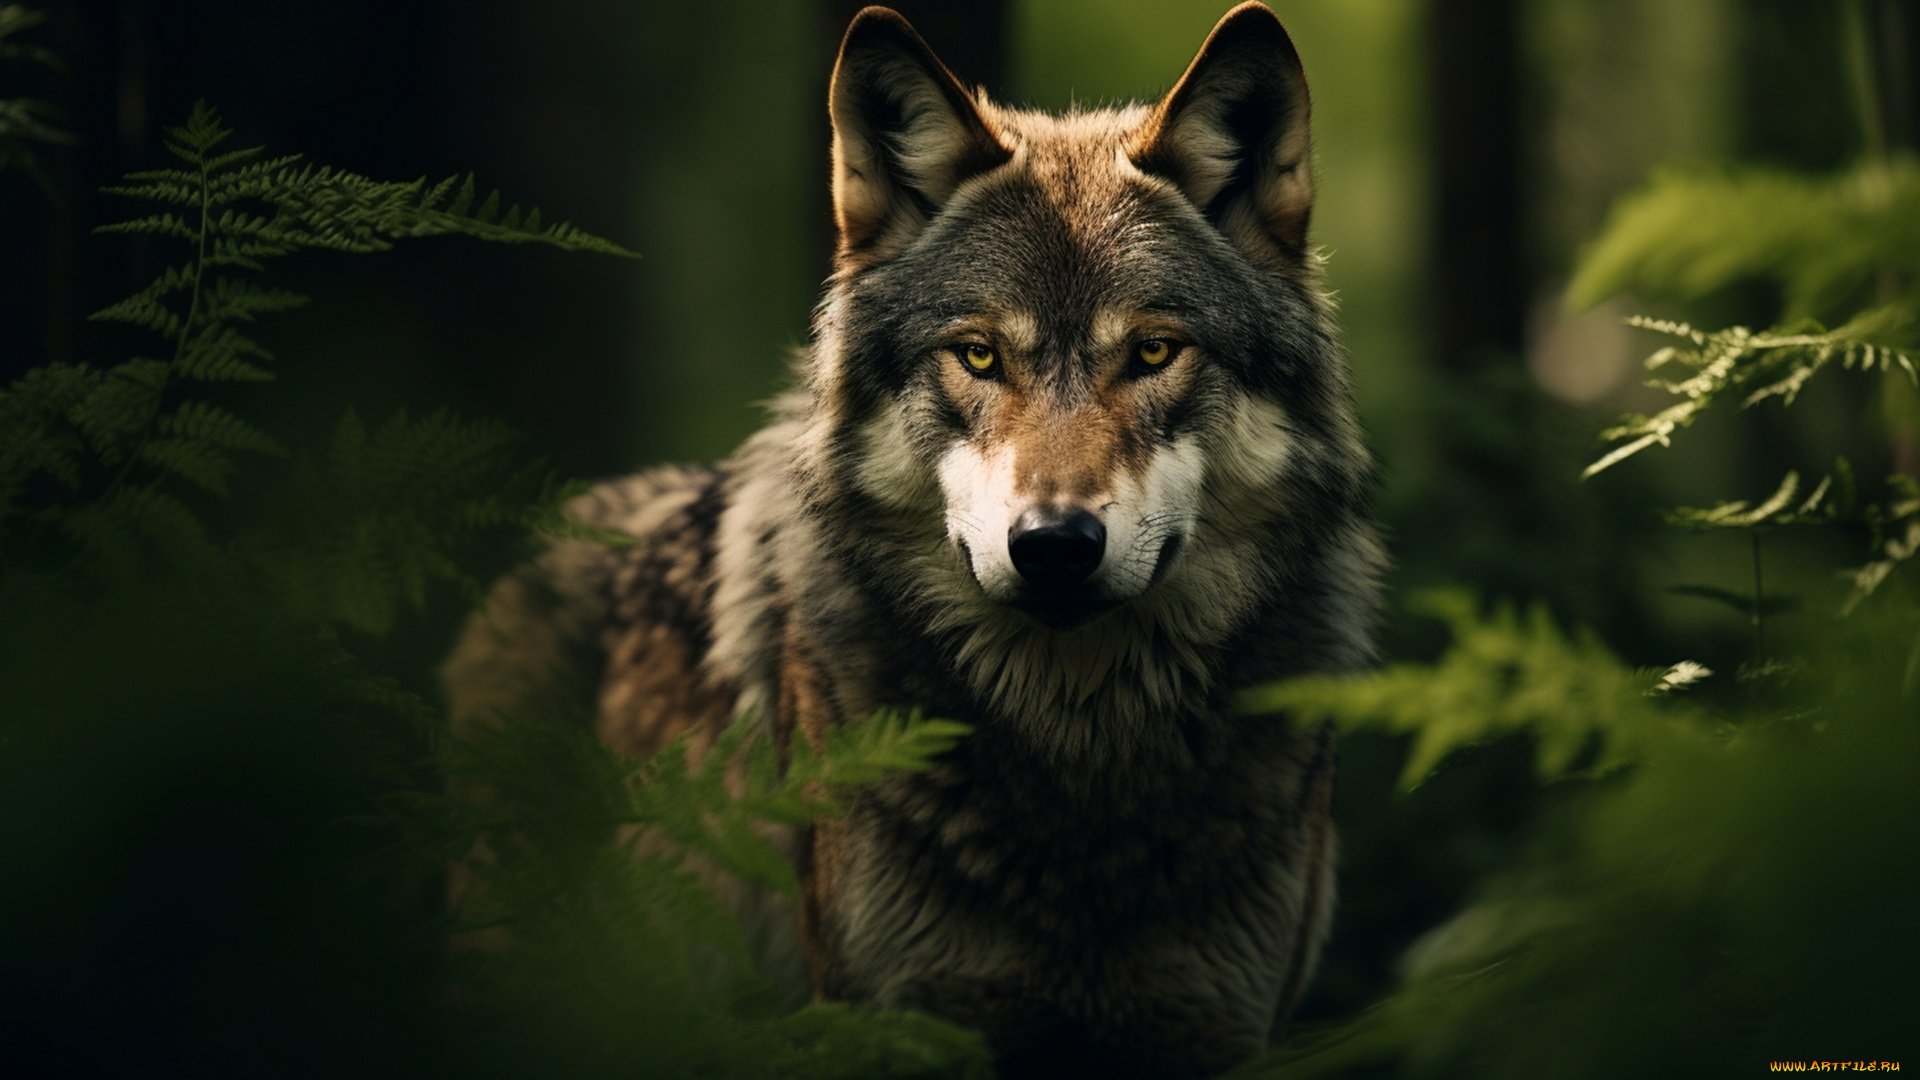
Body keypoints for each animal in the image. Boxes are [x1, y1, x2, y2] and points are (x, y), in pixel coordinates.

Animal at [443, 4, 1383, 1077]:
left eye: (1153, 352)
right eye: (977, 355)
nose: (1054, 544)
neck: (1079, 765)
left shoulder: (1218, 1031)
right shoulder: (895, 1022)